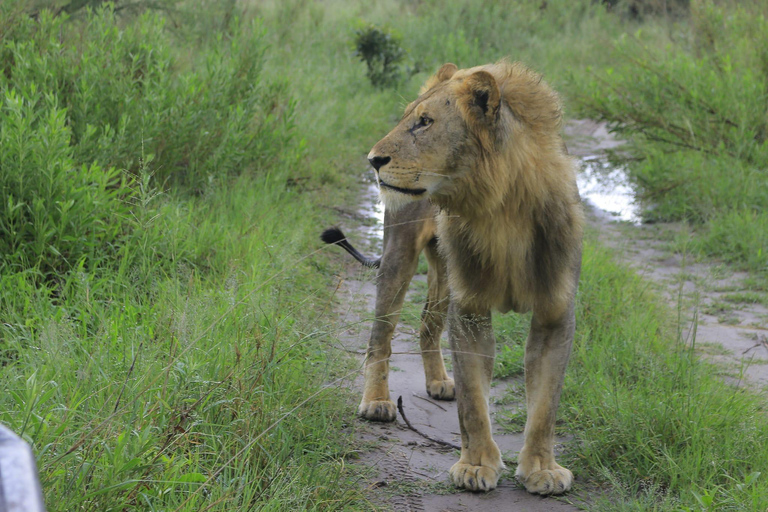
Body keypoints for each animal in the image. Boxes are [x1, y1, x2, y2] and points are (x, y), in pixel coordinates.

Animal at [322, 61, 584, 496]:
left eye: (425, 122)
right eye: (406, 117)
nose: (373, 159)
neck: (502, 212)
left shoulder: (555, 312)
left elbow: (546, 403)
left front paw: (543, 469)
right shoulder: (472, 308)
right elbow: (474, 402)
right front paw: (476, 466)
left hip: (445, 275)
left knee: (428, 325)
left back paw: (440, 381)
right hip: (399, 256)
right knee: (381, 336)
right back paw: (376, 402)